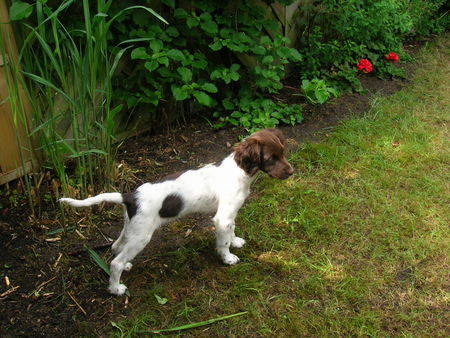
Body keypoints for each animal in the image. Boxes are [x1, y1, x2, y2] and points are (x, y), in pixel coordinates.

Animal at [59, 128, 294, 294]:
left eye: (283, 152)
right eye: (271, 159)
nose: (291, 172)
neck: (239, 171)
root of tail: (130, 196)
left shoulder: (230, 214)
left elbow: (232, 230)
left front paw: (235, 241)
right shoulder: (222, 217)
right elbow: (223, 241)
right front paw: (228, 258)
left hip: (131, 227)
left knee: (117, 247)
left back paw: (124, 267)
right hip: (142, 235)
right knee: (115, 261)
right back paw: (116, 288)